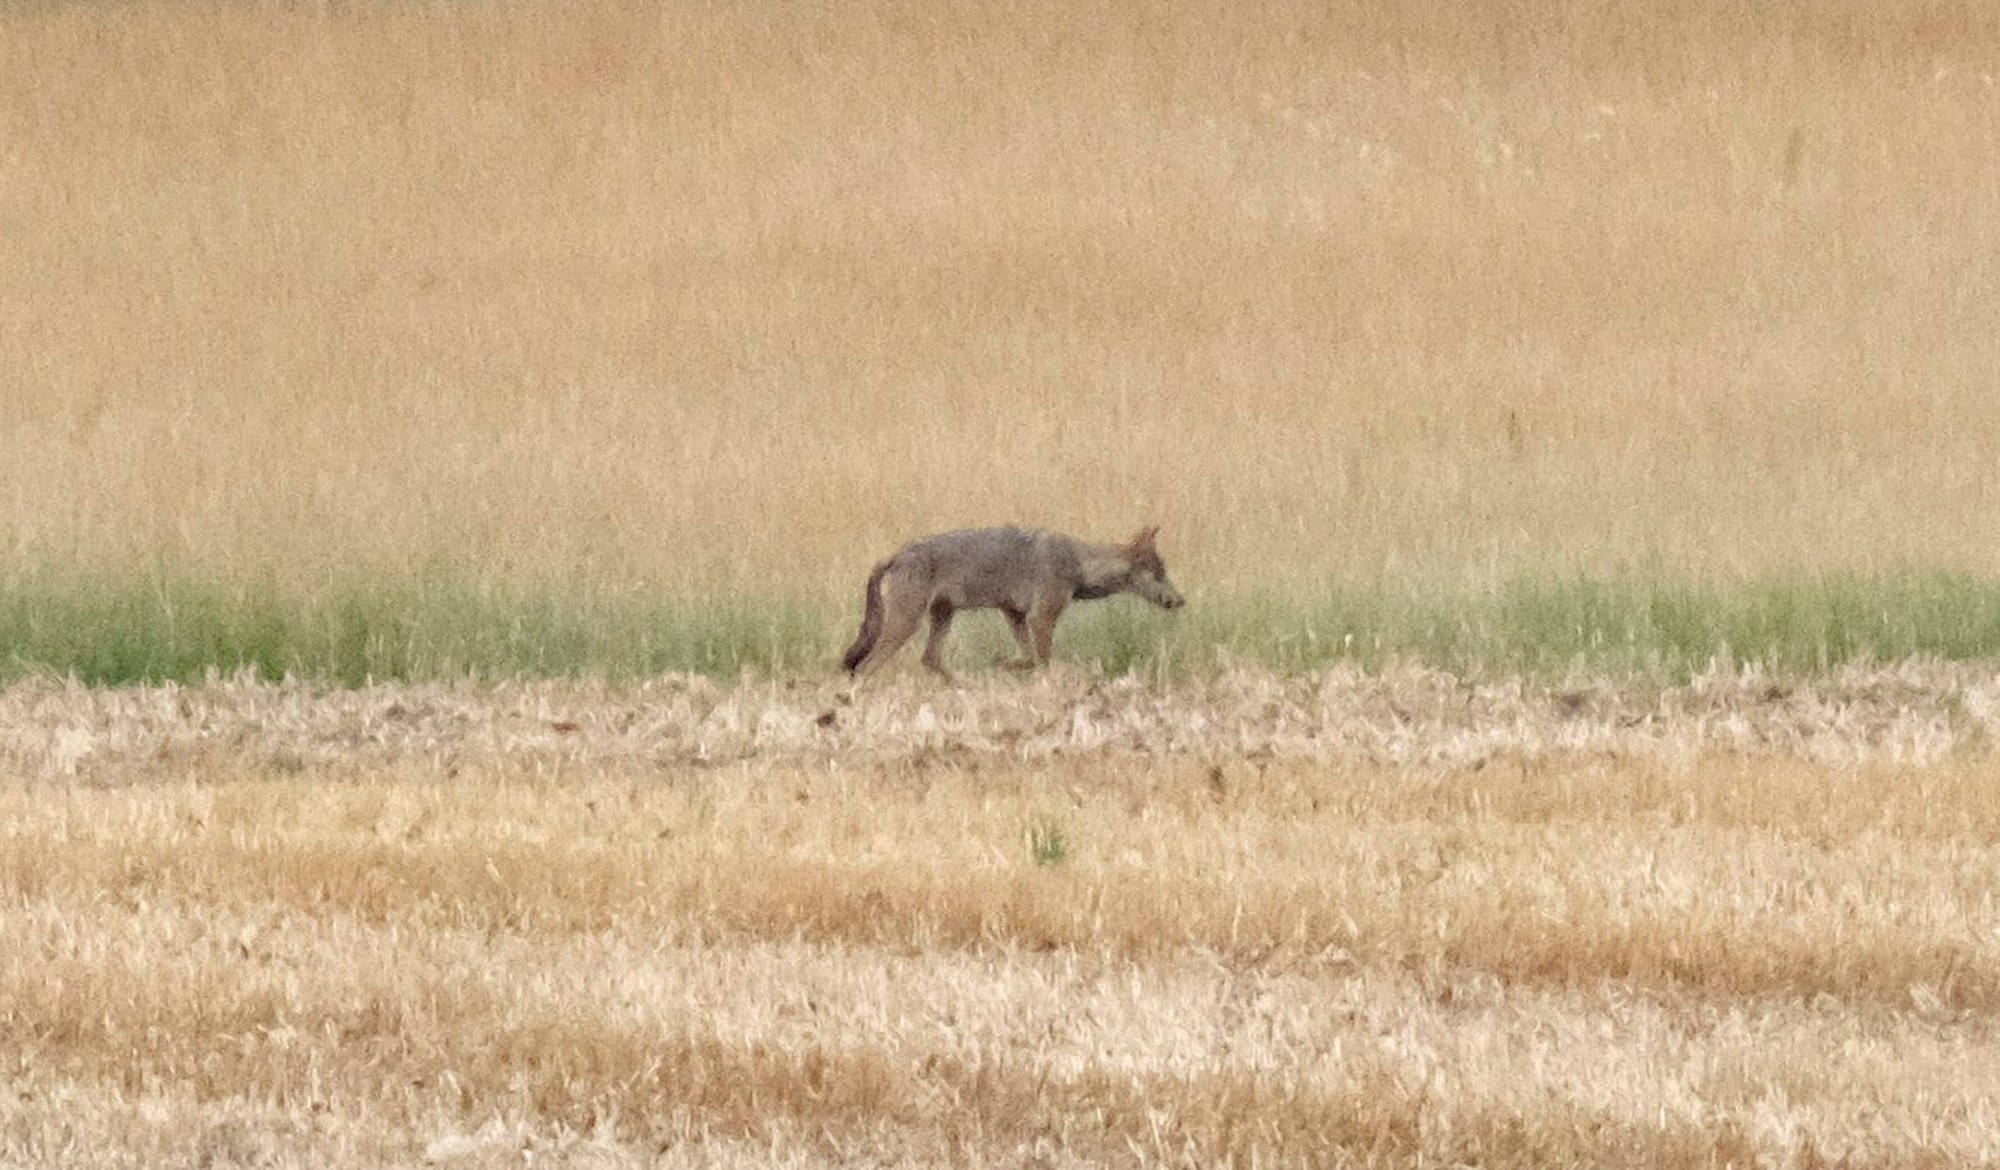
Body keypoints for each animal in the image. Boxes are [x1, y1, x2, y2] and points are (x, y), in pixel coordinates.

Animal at [840, 525, 1185, 679]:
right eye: (1160, 573)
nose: (1180, 600)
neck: (1078, 561)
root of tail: (897, 554)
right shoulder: (1040, 618)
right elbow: (1044, 661)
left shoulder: (1014, 614)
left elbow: (1027, 658)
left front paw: (1001, 663)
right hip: (907, 623)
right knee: (865, 667)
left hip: (943, 615)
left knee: (930, 659)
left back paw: (964, 685)